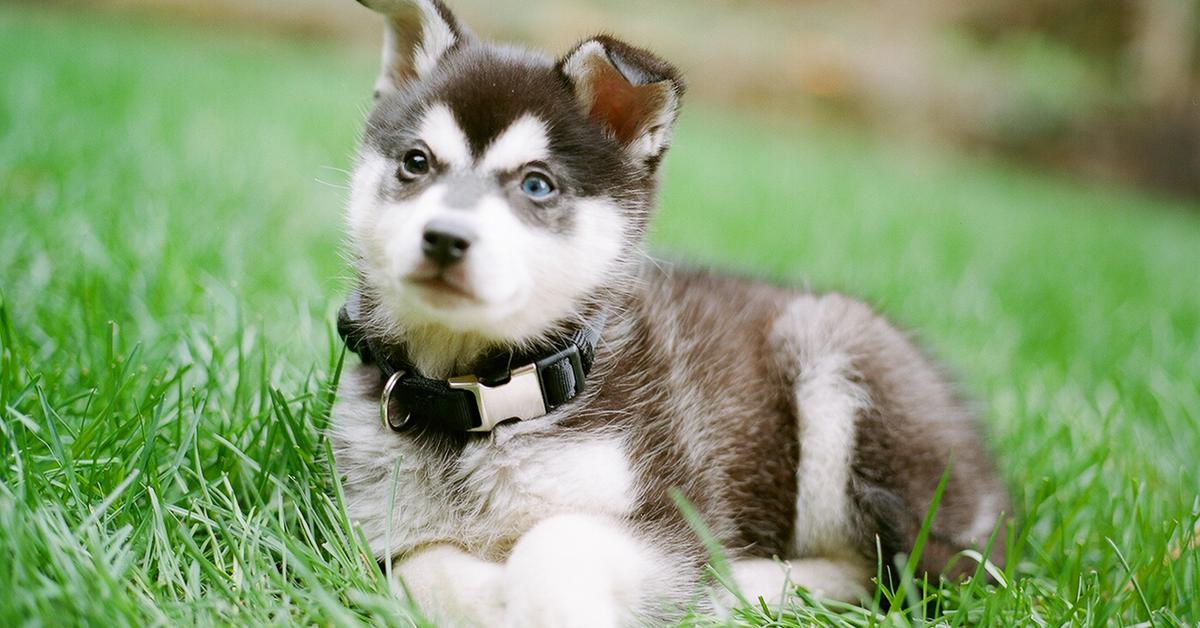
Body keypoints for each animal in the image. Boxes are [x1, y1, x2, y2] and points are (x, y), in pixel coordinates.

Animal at [331, 2, 1012, 624]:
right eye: (416, 162)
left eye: (536, 184)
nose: (444, 238)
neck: (479, 400)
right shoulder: (384, 526)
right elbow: (425, 569)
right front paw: (487, 595)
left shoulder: (671, 521)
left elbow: (555, 542)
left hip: (835, 354)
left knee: (877, 572)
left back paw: (747, 587)